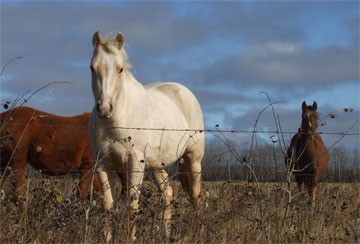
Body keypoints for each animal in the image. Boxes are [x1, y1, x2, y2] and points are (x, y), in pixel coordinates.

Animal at [88, 31, 204, 241]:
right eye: (92, 68)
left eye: (120, 69)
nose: (105, 108)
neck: (118, 121)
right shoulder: (101, 164)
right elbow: (108, 206)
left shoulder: (135, 164)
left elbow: (133, 206)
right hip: (157, 165)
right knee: (167, 193)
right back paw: (166, 234)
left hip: (193, 160)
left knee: (196, 196)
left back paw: (199, 233)